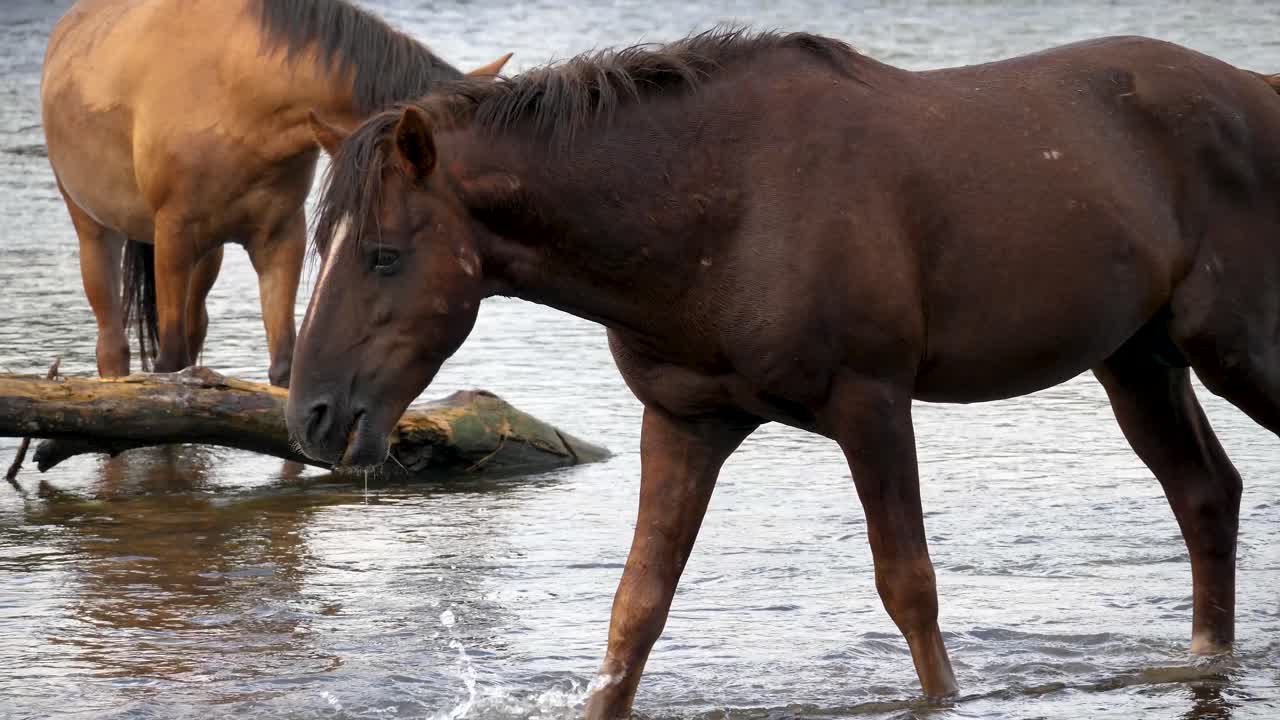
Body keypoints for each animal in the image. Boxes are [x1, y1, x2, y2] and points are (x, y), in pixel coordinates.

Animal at [40, 0, 510, 387]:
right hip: (95, 229)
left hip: (207, 253)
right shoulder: (172, 234)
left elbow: (282, 364)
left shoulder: (281, 236)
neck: (238, 95)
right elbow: (168, 364)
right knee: (113, 349)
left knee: (195, 331)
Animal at [285, 29, 1280, 717]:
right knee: (1206, 495)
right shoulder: (682, 420)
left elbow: (910, 588)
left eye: (382, 255)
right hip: (1138, 361)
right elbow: (635, 611)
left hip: (1238, 349)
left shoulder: (872, 401)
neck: (711, 218)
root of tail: (1259, 91)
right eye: (321, 248)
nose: (313, 418)